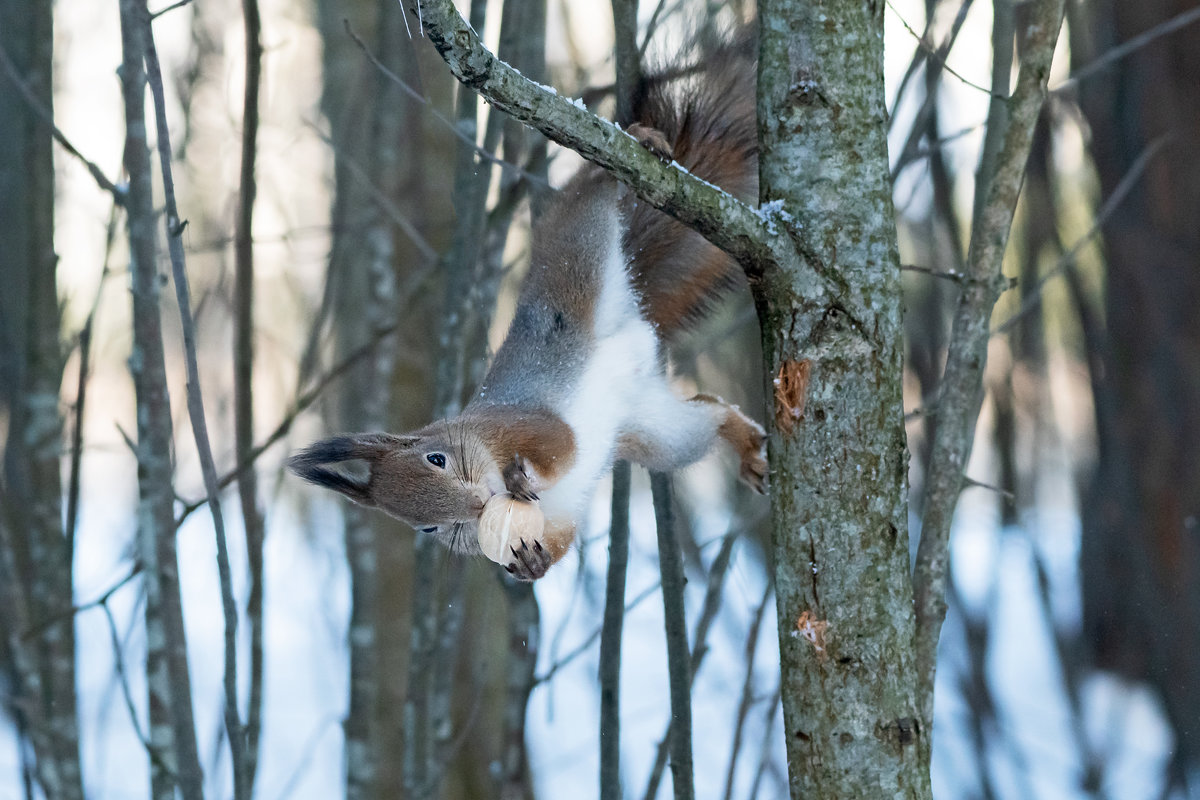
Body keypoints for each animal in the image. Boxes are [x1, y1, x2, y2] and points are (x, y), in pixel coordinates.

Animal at [285, 42, 763, 582]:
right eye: (426, 529)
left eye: (436, 459)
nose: (478, 505)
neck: (477, 443)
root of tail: (634, 316)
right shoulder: (556, 510)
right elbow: (555, 538)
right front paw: (531, 563)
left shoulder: (524, 423)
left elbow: (561, 445)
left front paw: (522, 474)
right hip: (658, 433)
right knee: (710, 411)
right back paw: (744, 440)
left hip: (578, 248)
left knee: (593, 189)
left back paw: (638, 144)